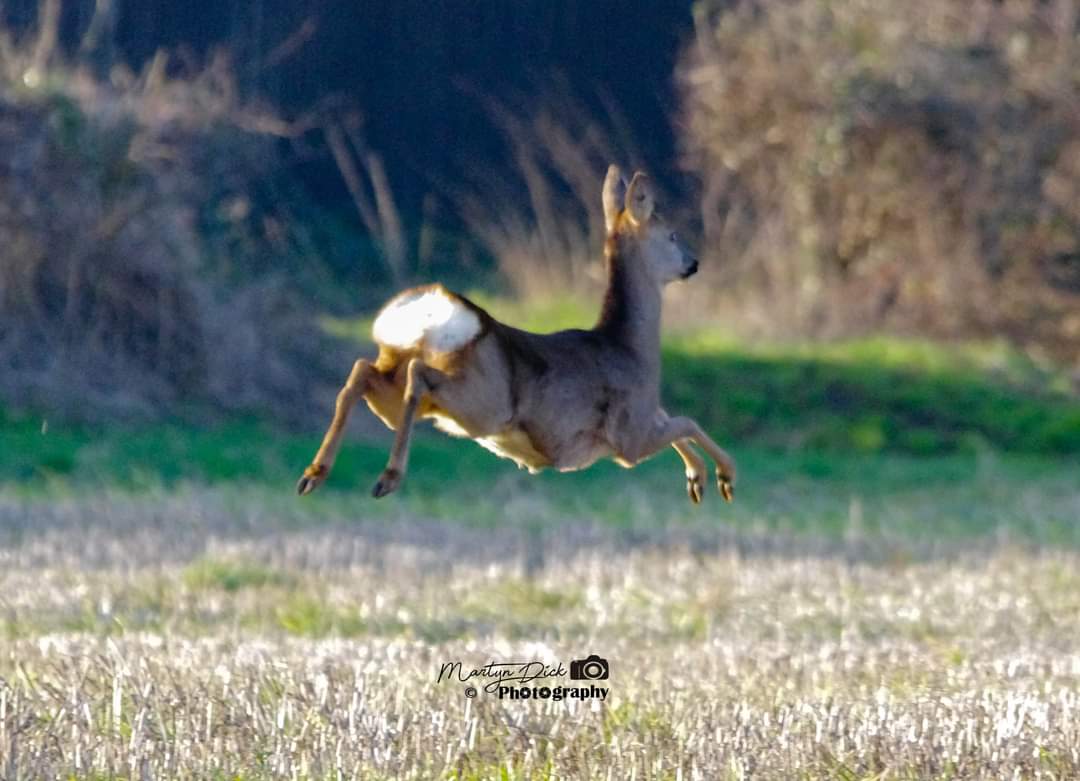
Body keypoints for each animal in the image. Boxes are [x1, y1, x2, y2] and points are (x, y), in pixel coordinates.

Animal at [296, 165, 736, 504]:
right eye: (672, 235)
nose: (693, 263)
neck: (630, 347)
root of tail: (438, 313)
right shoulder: (629, 436)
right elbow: (686, 421)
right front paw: (720, 476)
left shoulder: (642, 423)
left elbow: (676, 421)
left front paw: (698, 478)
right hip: (483, 402)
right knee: (417, 374)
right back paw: (387, 477)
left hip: (410, 390)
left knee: (364, 371)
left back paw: (315, 473)